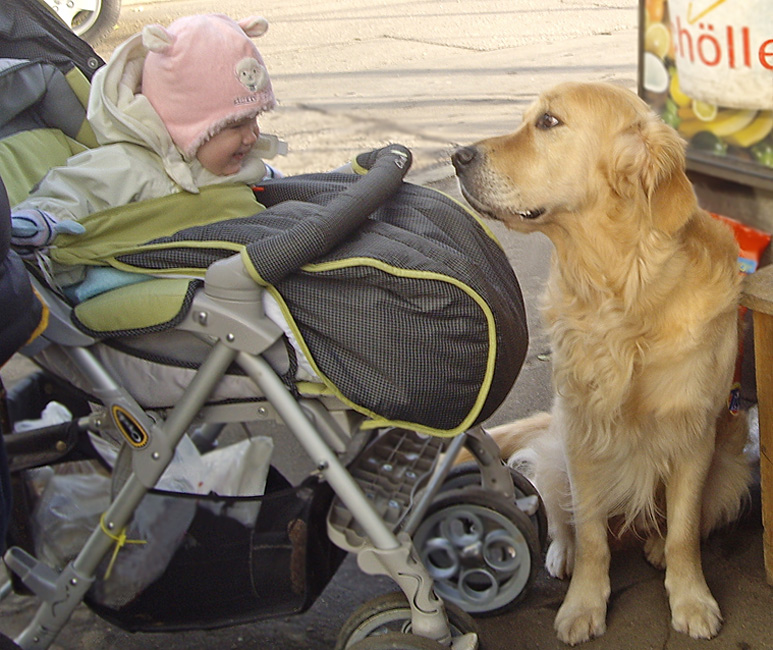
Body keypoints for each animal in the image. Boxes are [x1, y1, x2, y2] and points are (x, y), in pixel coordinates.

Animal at [452, 82, 748, 644]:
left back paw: (654, 543)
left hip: (730, 471)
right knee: (558, 508)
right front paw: (583, 603)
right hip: (557, 451)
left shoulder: (695, 434)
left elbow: (684, 532)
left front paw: (691, 597)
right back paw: (561, 554)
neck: (622, 291)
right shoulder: (582, 430)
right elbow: (590, 533)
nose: (457, 156)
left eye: (548, 122)